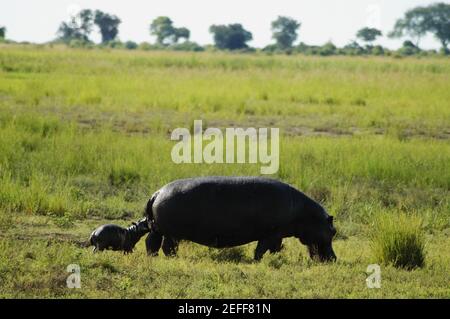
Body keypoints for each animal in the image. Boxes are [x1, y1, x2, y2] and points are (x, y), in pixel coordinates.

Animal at [144, 178, 338, 262]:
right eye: (333, 231)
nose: (334, 259)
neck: (306, 215)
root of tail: (157, 193)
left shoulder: (276, 235)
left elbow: (274, 248)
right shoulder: (270, 234)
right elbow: (262, 249)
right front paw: (258, 261)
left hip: (158, 229)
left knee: (152, 242)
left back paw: (153, 257)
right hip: (172, 233)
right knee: (167, 246)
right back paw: (174, 258)